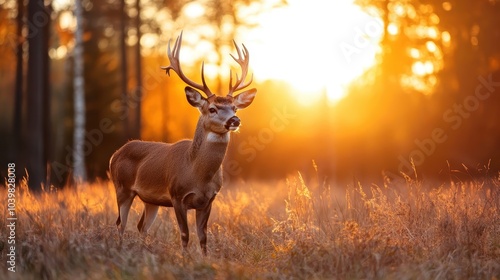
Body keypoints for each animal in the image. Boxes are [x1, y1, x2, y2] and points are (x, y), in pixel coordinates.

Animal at [109, 31, 258, 255]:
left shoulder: (208, 200)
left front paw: (205, 259)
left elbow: (203, 237)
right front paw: (185, 258)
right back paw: (119, 249)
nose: (235, 120)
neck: (197, 172)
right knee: (120, 223)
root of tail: (115, 154)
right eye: (212, 108)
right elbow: (185, 235)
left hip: (150, 199)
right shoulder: (177, 195)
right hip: (122, 187)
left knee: (142, 226)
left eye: (234, 107)